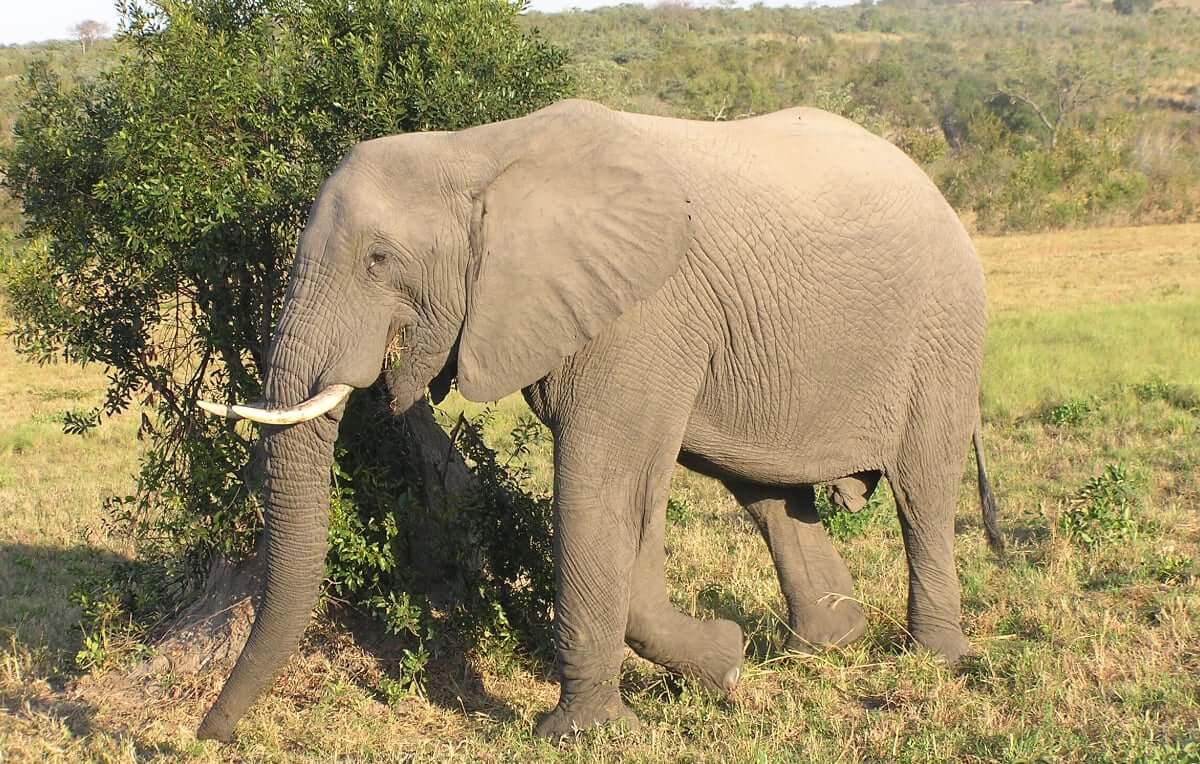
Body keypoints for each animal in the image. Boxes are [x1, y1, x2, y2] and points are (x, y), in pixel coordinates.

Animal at [193, 98, 1003, 741]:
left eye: (378, 260)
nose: (212, 734)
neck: (478, 153)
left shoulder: (643, 315)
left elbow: (603, 489)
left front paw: (586, 730)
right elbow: (624, 500)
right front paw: (726, 662)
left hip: (944, 329)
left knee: (922, 490)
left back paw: (932, 656)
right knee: (768, 494)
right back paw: (828, 645)